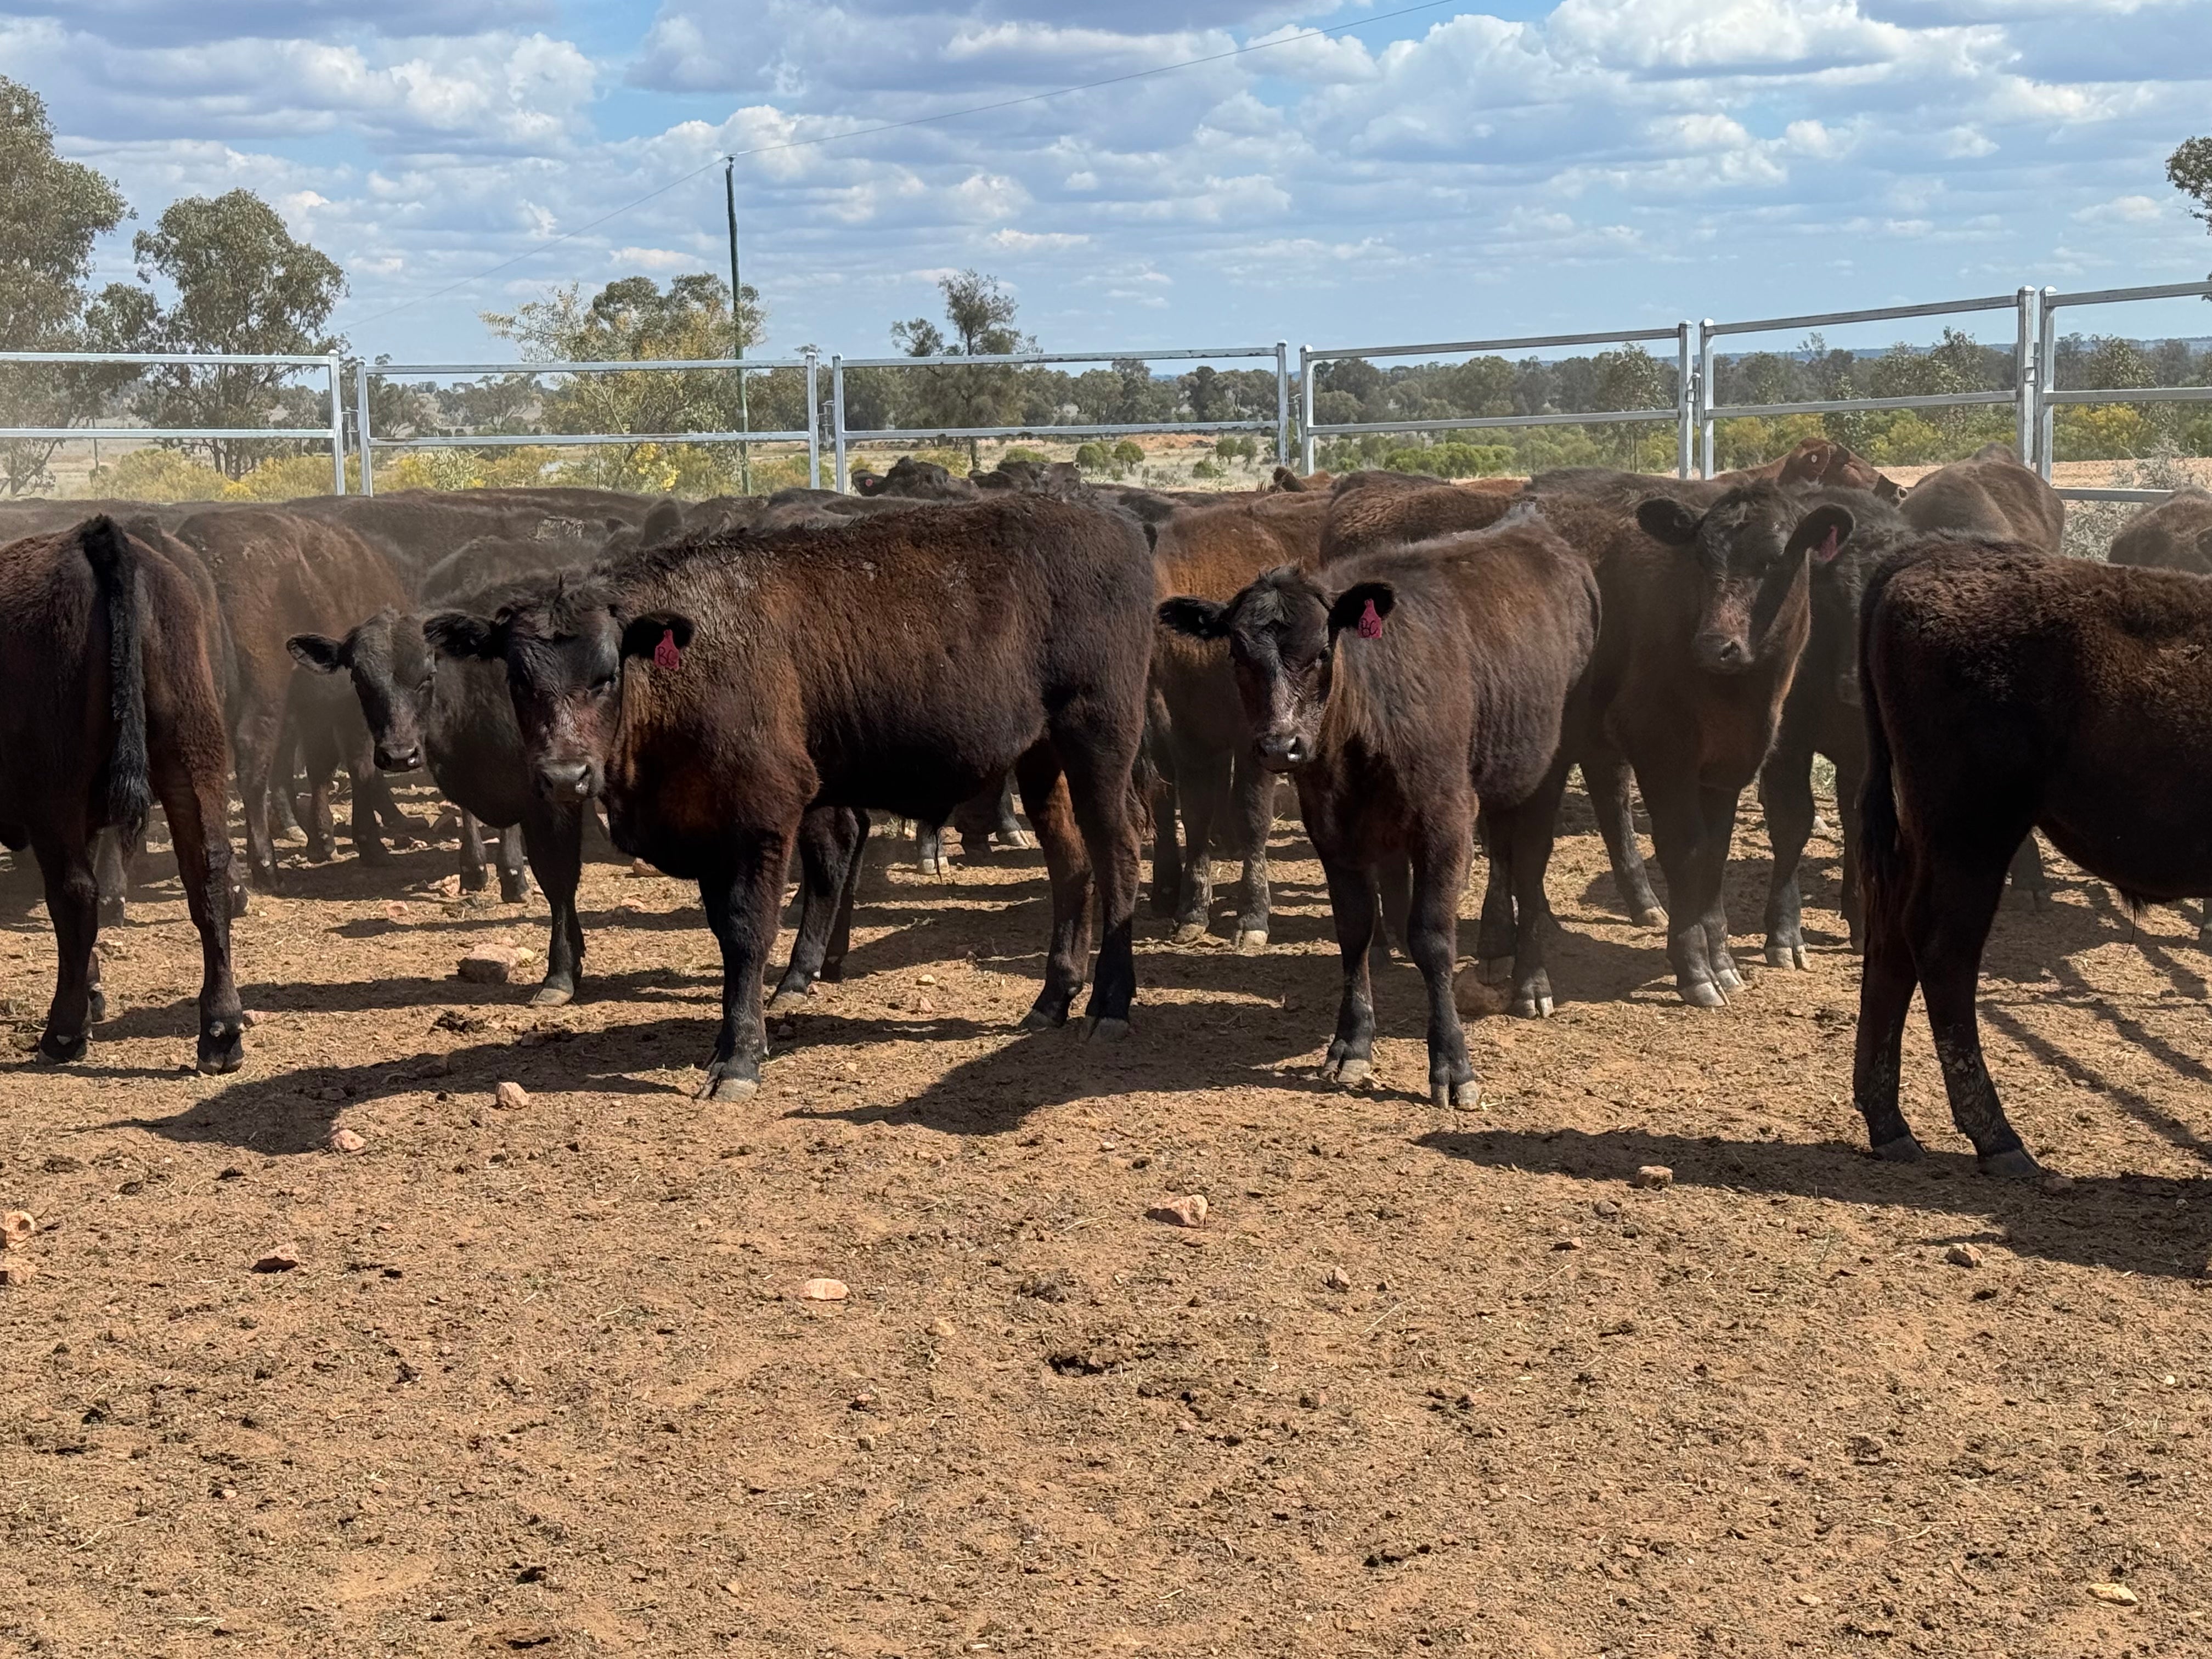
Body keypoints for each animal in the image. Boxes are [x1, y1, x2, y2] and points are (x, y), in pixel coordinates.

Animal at [0, 518, 242, 1074]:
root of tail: (96, 538)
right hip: (193, 756)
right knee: (208, 876)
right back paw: (221, 1029)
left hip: (56, 790)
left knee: (74, 893)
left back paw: (63, 1032)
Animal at [425, 497, 1154, 1100]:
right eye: (518, 680)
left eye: (606, 675)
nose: (564, 776)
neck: (692, 659)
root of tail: (1115, 524)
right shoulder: (708, 831)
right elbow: (726, 934)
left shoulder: (763, 820)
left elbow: (750, 930)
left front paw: (739, 1060)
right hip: (1042, 759)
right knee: (1070, 863)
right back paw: (1052, 1000)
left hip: (1099, 741)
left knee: (1116, 853)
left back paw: (1109, 1007)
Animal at [1160, 513, 1599, 1104]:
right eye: (1236, 655)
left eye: (1323, 652)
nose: (1280, 746)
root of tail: (1532, 527)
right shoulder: (1333, 832)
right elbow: (1354, 932)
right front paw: (1351, 1045)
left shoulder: (1446, 824)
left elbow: (1432, 939)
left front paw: (1452, 1065)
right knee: (1509, 858)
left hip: (1550, 765)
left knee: (1530, 868)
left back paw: (1531, 983)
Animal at [1853, 542, 2212, 1176]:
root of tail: (1931, 555)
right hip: (1974, 832)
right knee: (1944, 948)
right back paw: (1999, 1141)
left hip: (1929, 832)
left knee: (1893, 937)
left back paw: (1891, 1127)